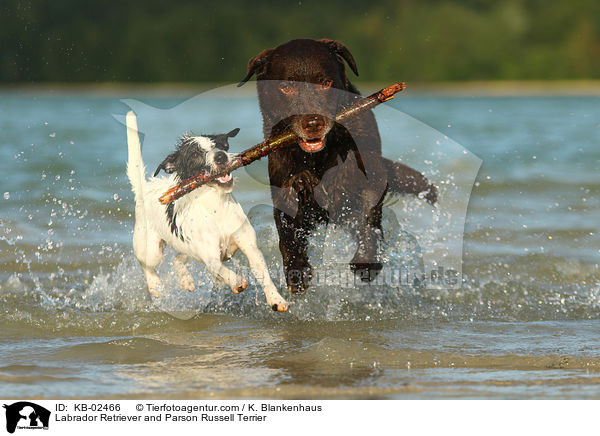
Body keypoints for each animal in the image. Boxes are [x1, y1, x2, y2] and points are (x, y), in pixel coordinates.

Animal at [124, 110, 288, 312]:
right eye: (194, 153)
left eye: (220, 146)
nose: (221, 156)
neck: (216, 206)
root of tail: (146, 188)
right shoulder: (210, 256)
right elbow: (220, 269)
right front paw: (237, 281)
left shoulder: (249, 246)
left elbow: (262, 272)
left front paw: (276, 299)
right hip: (150, 248)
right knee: (147, 265)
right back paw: (155, 285)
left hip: (186, 248)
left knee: (178, 259)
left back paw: (186, 280)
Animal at [237, 38, 438, 292]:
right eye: (286, 87)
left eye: (326, 83)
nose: (313, 123)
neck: (320, 157)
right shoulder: (282, 186)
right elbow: (287, 230)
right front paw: (297, 270)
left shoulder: (370, 176)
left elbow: (369, 217)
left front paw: (365, 261)